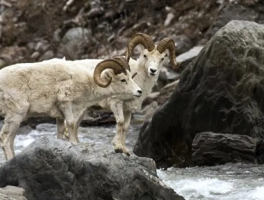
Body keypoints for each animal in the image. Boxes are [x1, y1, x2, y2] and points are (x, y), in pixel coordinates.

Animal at [0, 55, 142, 160]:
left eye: (131, 76)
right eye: (123, 80)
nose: (139, 91)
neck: (84, 83)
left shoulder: (59, 116)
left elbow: (61, 132)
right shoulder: (66, 105)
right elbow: (72, 125)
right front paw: (74, 144)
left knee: (11, 140)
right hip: (16, 115)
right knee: (5, 139)